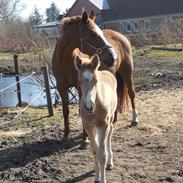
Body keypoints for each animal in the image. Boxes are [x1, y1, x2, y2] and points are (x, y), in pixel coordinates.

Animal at [51, 9, 139, 142]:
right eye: (93, 34)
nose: (113, 57)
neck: (66, 60)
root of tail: (121, 36)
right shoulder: (61, 87)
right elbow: (65, 110)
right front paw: (66, 134)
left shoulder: (80, 87)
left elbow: (81, 109)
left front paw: (85, 137)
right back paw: (113, 119)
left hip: (127, 72)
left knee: (131, 93)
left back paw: (134, 119)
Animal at [74, 51, 117, 183]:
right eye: (80, 81)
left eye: (96, 81)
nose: (89, 106)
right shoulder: (88, 126)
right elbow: (94, 150)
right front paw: (97, 177)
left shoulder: (103, 124)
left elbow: (102, 155)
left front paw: (103, 179)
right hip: (95, 126)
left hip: (110, 118)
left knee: (109, 134)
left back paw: (110, 162)